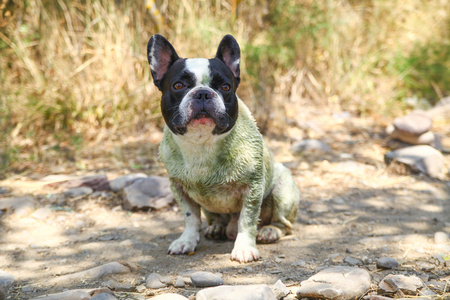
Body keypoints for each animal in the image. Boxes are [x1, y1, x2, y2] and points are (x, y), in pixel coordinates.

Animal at [147, 33, 298, 262]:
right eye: (178, 85)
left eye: (226, 87)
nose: (202, 93)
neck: (203, 144)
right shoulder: (179, 188)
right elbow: (190, 217)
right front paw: (186, 241)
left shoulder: (252, 187)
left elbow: (247, 219)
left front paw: (244, 247)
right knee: (213, 218)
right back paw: (217, 228)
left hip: (283, 190)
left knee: (283, 223)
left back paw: (269, 231)